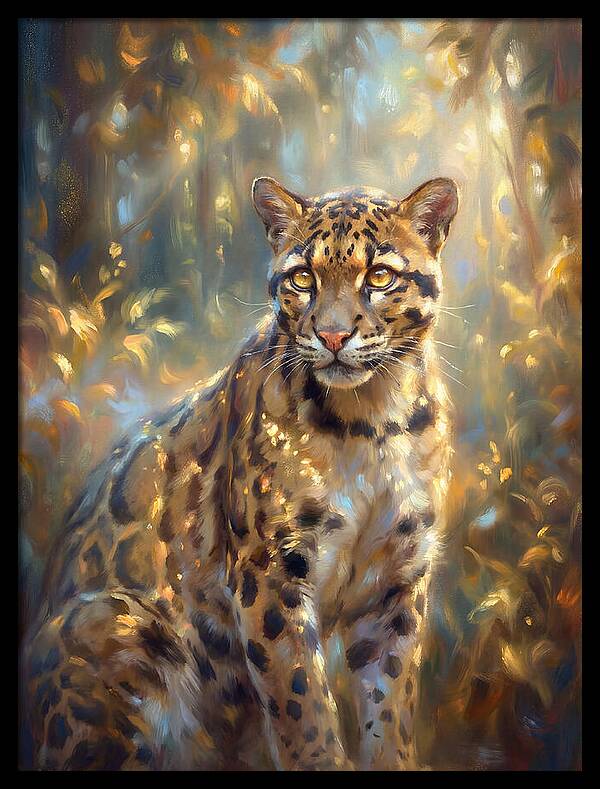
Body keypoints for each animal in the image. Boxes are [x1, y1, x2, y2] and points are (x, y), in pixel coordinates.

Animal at [22, 174, 458, 771]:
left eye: (379, 276)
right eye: (302, 278)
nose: (333, 336)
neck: (372, 422)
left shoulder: (396, 582)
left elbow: (389, 707)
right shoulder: (270, 574)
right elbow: (302, 707)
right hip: (116, 622)